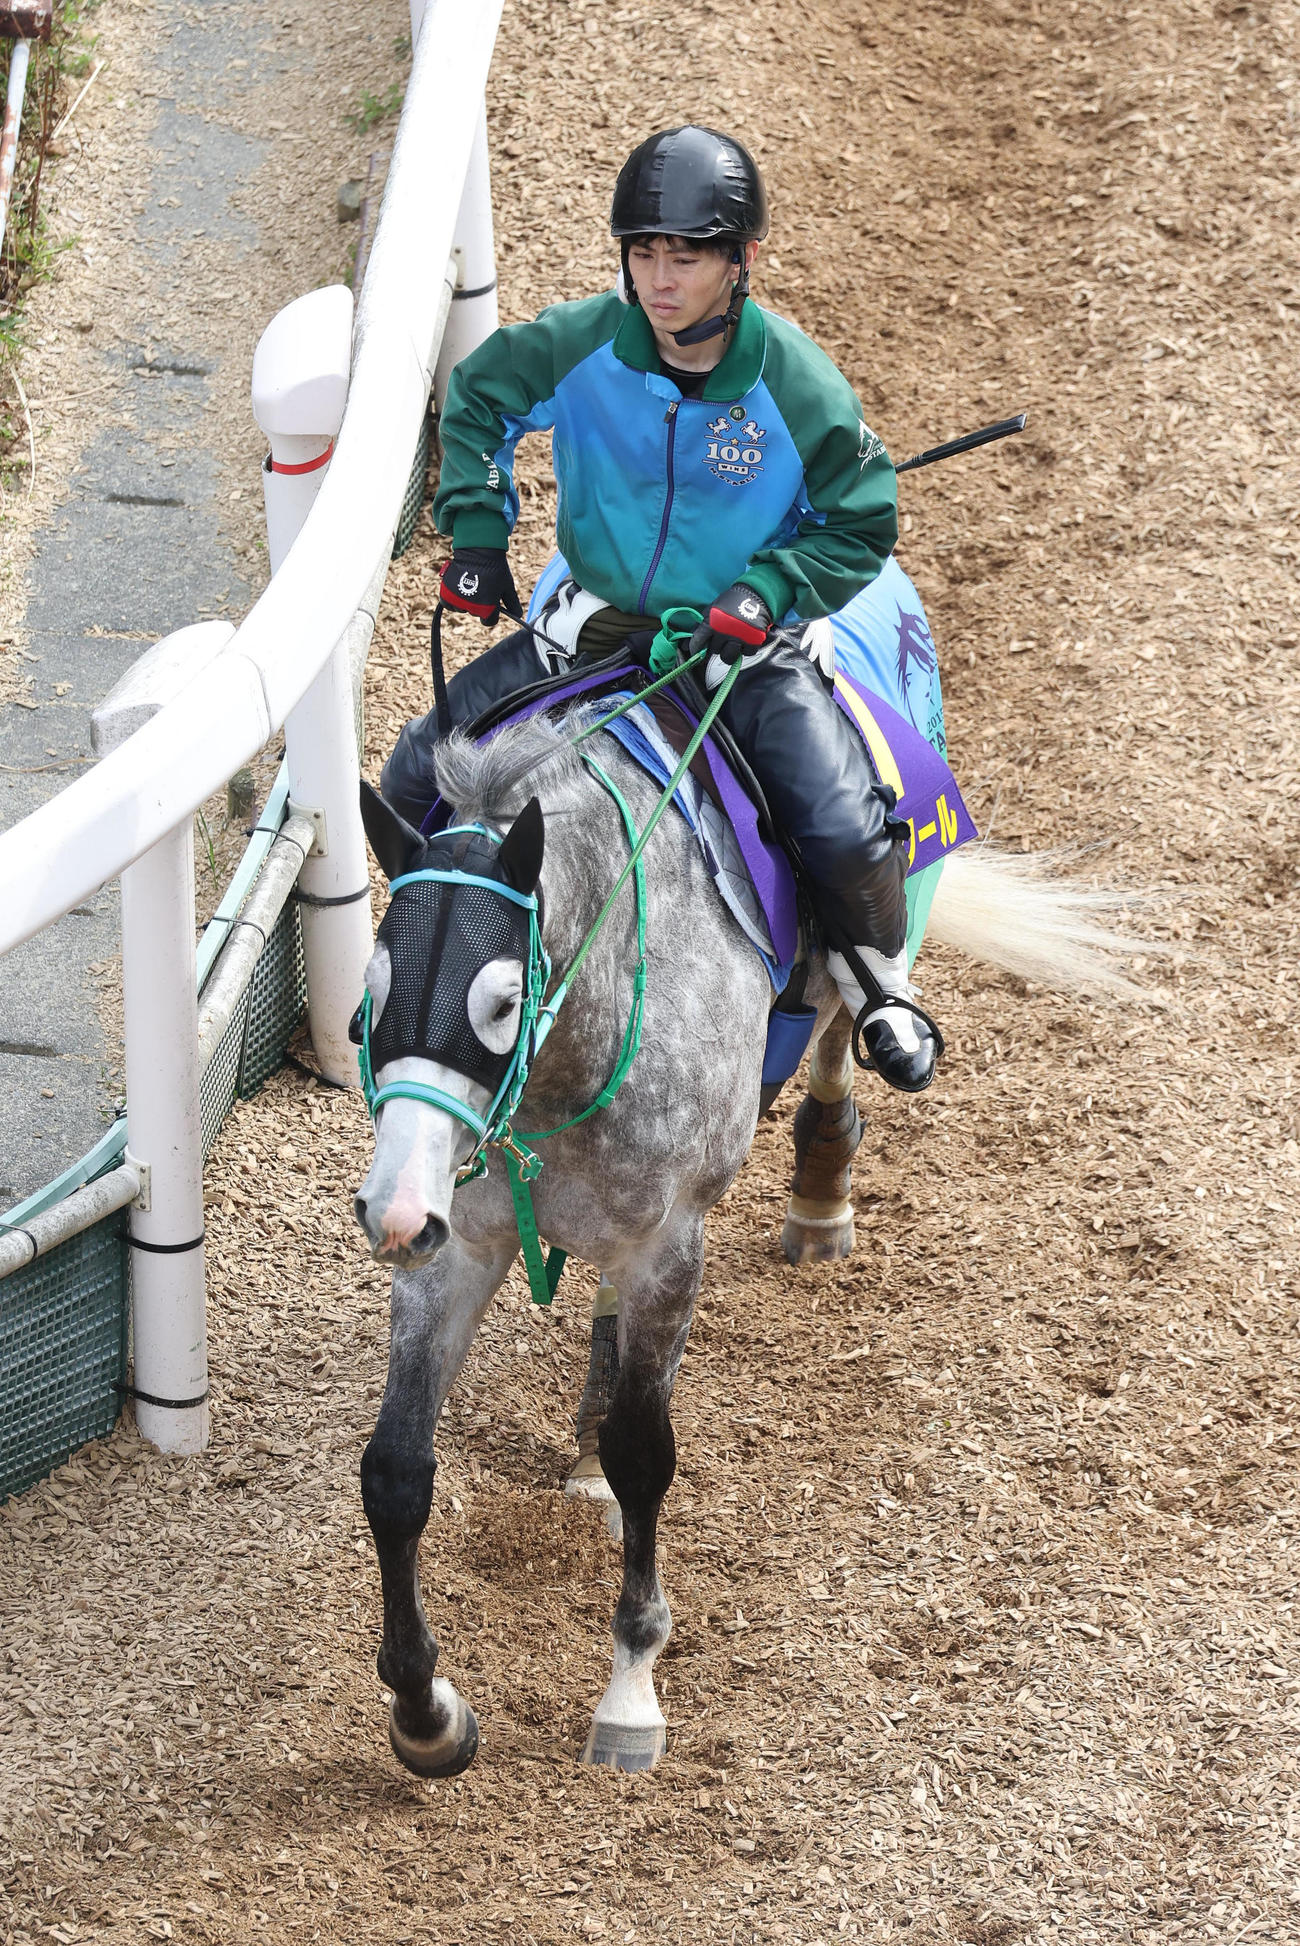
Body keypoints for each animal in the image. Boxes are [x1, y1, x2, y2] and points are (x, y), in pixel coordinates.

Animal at [352, 708, 1145, 1776]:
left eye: (501, 1001)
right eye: (372, 989)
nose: (393, 1214)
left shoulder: (670, 1243)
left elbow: (645, 1454)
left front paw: (631, 1687)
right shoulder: (460, 1244)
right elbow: (396, 1472)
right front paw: (425, 1712)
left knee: (850, 1005)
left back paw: (822, 1190)